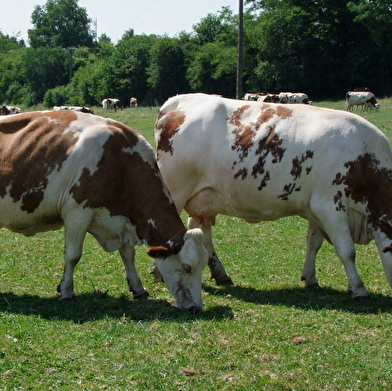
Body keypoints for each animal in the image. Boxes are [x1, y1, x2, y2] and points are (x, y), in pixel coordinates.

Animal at [0, 110, 208, 312]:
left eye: (203, 265)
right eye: (187, 267)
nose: (195, 307)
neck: (120, 161)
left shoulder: (122, 220)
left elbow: (128, 254)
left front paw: (138, 288)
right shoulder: (77, 213)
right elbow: (73, 255)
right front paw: (67, 292)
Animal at [155, 93, 392, 302]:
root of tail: (177, 101)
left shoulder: (315, 209)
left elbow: (313, 243)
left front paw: (310, 278)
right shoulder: (329, 206)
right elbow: (346, 250)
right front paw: (358, 289)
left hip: (203, 198)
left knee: (201, 233)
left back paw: (220, 273)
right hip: (175, 191)